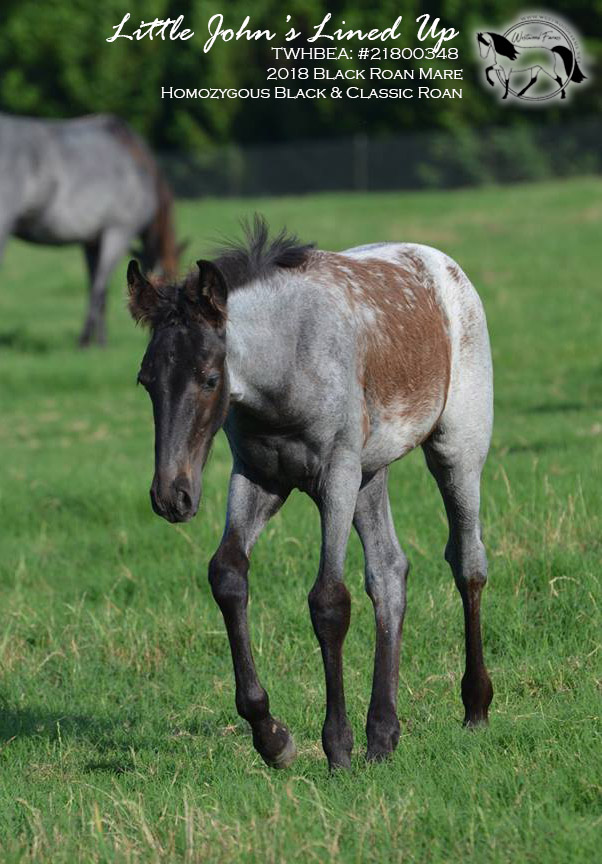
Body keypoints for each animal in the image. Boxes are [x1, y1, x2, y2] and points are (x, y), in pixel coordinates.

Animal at [0, 113, 178, 346]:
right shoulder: (118, 233)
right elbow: (99, 289)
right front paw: (84, 340)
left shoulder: (92, 241)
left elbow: (96, 287)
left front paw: (100, 341)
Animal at [126, 219, 492, 772]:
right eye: (146, 380)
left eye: (209, 378)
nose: (173, 496)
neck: (289, 362)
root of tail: (443, 266)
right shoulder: (258, 476)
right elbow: (227, 574)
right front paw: (272, 736)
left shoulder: (335, 477)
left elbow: (329, 601)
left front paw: (336, 746)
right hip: (371, 474)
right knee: (389, 573)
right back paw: (382, 734)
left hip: (455, 452)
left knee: (467, 561)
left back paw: (474, 706)